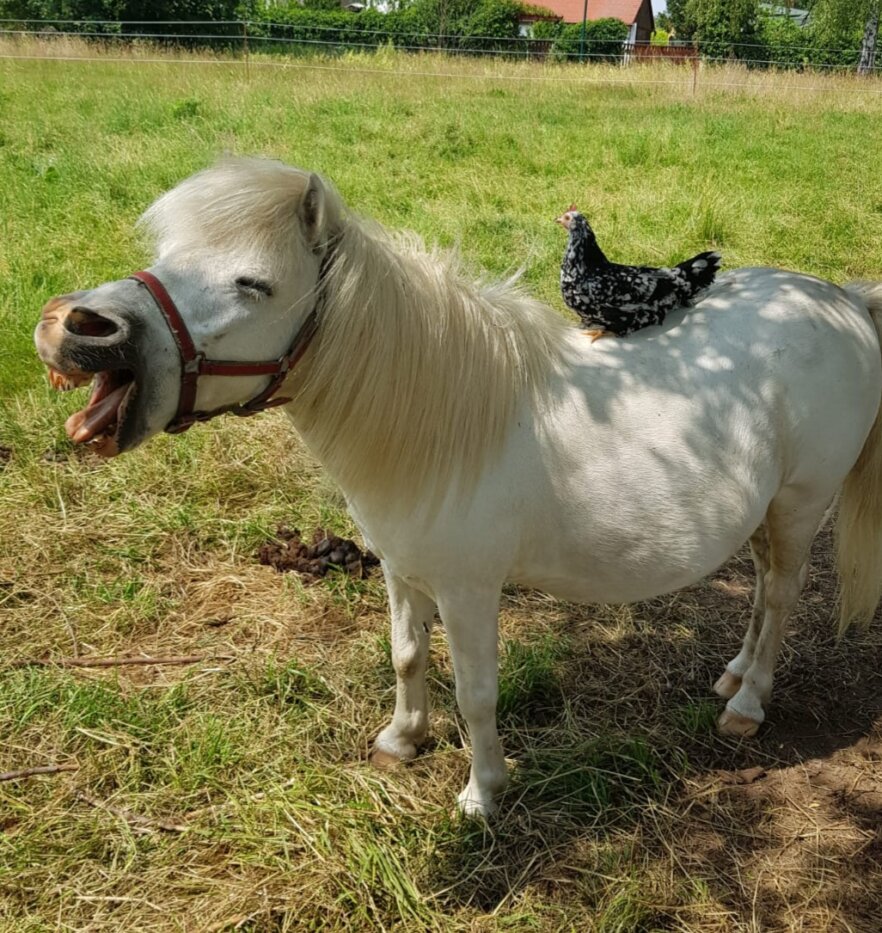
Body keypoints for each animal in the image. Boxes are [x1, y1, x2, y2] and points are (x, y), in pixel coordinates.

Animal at [35, 157, 882, 818]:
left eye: (254, 283)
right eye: (168, 250)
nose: (74, 327)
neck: (441, 420)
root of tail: (839, 299)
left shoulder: (470, 590)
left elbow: (477, 691)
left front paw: (483, 792)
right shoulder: (401, 568)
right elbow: (408, 654)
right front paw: (402, 738)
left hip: (801, 504)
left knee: (781, 596)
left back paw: (747, 703)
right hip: (766, 512)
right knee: (765, 588)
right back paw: (732, 674)